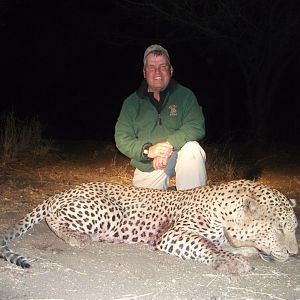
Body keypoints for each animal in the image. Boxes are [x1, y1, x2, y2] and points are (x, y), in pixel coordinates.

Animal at [0, 178, 298, 274]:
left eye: (293, 228)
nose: (294, 254)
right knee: (53, 217)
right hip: (109, 210)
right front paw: (231, 261)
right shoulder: (174, 234)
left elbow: (240, 246)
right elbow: (206, 244)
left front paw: (248, 253)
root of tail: (61, 192)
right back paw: (78, 238)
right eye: (280, 229)